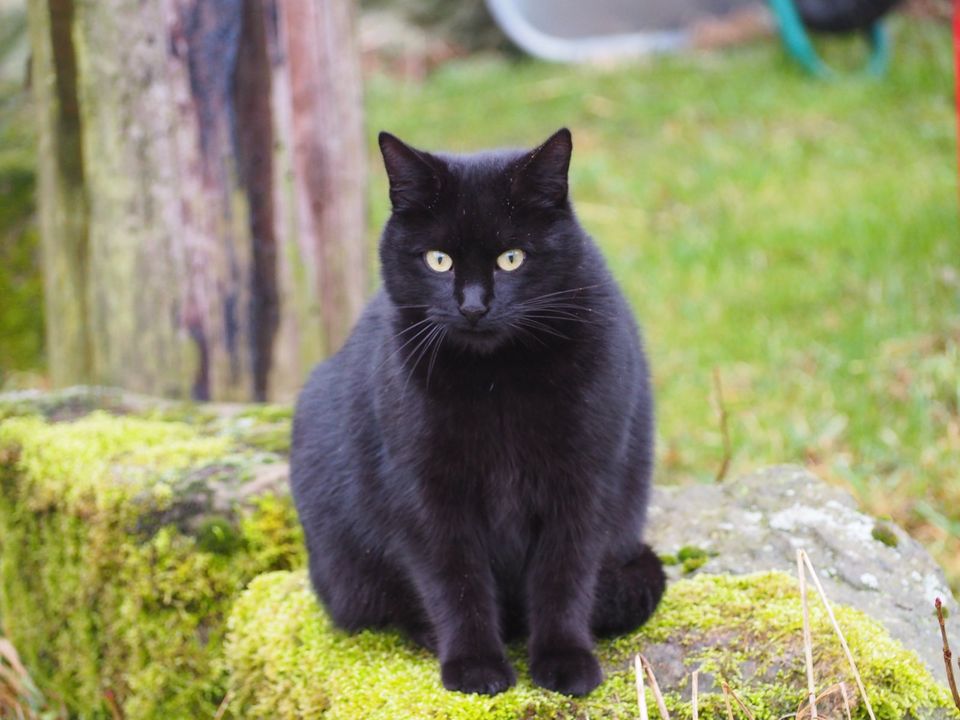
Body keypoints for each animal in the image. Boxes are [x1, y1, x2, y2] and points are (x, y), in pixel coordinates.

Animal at [290, 129, 668, 696]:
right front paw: (474, 667)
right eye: (438, 260)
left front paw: (565, 661)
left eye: (511, 258)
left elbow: (564, 575)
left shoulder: (583, 483)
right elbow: (456, 581)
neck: (497, 381)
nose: (472, 306)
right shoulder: (428, 494)